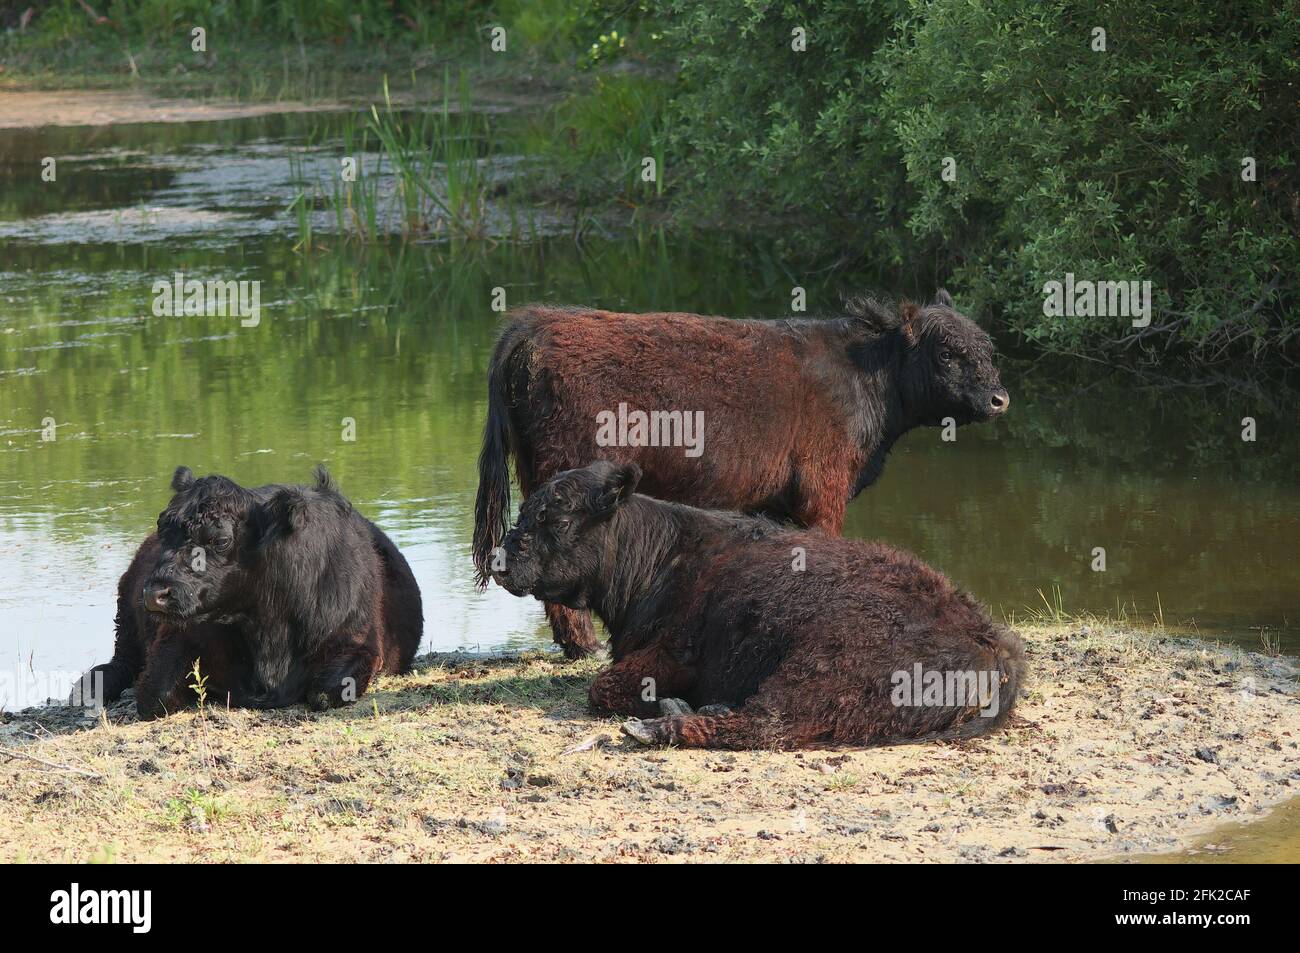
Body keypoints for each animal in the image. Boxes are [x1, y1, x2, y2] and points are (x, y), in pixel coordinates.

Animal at [69, 465, 423, 718]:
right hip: (126, 621)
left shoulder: (361, 644)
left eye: (221, 540)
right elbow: (155, 694)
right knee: (121, 662)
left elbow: (325, 691)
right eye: (162, 526)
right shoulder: (175, 637)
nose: (155, 593)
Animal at [473, 291, 1009, 658]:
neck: (866, 377)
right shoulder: (823, 492)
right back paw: (586, 645)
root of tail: (539, 322)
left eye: (988, 349)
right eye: (947, 353)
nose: (999, 398)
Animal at [490, 461, 1025, 750]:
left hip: (816, 672)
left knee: (765, 726)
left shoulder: (668, 656)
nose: (500, 558)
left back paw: (658, 725)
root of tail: (989, 640)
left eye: (559, 519)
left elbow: (601, 686)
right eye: (524, 510)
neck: (665, 557)